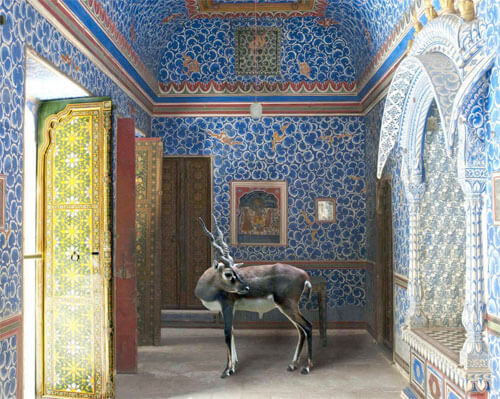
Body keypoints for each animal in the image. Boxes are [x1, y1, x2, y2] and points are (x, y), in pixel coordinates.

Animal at [194, 219, 312, 378]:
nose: (246, 287)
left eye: (234, 272)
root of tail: (304, 275)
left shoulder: (227, 305)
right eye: (229, 273)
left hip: (288, 306)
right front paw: (233, 366)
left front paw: (226, 370)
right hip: (288, 308)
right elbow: (232, 331)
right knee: (301, 330)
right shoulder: (231, 308)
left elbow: (227, 333)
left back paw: (307, 368)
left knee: (308, 327)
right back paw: (292, 365)